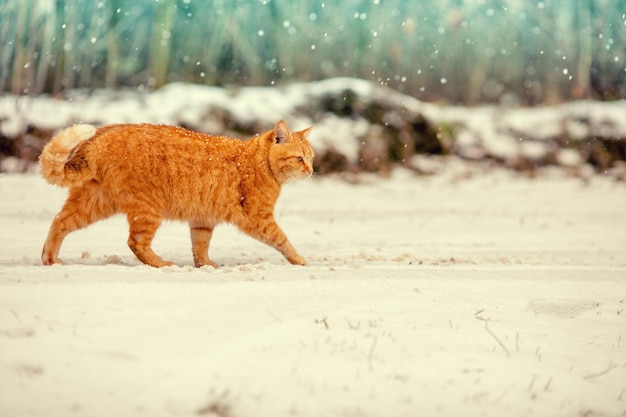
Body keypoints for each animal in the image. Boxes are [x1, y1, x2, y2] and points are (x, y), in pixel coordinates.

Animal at [38, 118, 312, 268]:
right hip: (147, 208)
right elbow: (282, 240)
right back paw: (161, 263)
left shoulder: (203, 220)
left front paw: (204, 265)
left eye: (311, 157)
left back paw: (49, 258)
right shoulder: (259, 218)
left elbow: (200, 246)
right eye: (299, 159)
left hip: (93, 203)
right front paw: (299, 259)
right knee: (135, 242)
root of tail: (101, 134)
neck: (258, 160)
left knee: (59, 222)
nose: (311, 170)